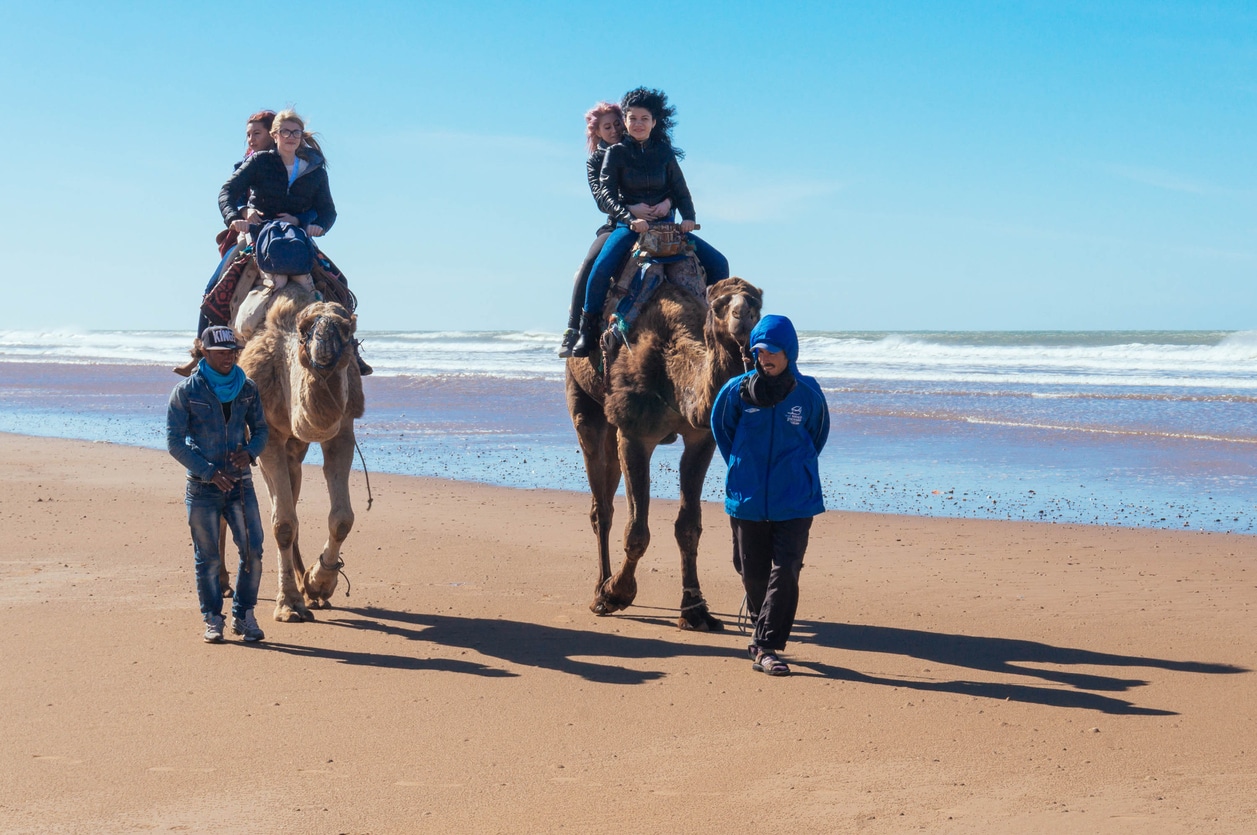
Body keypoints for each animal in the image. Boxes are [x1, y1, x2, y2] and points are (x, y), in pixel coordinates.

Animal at [236, 284, 364, 623]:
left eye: (347, 328)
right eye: (306, 328)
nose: (325, 342)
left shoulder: (342, 430)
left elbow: (342, 518)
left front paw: (319, 585)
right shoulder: (267, 432)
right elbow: (282, 524)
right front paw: (290, 604)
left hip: (295, 449)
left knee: (291, 495)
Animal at [565, 267, 759, 633]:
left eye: (757, 303)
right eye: (718, 305)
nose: (744, 316)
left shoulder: (701, 438)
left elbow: (688, 527)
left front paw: (695, 610)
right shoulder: (634, 433)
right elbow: (637, 530)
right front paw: (617, 594)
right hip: (582, 398)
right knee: (601, 503)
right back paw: (600, 589)